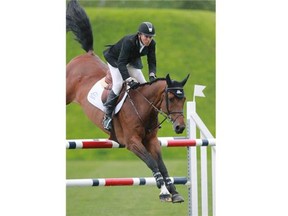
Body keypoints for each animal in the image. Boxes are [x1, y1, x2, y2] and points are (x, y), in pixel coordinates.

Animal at [66, 0, 190, 202]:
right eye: (171, 98)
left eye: (184, 99)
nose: (180, 128)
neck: (144, 107)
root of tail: (87, 55)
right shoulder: (132, 142)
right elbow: (151, 163)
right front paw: (163, 190)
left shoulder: (152, 141)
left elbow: (162, 165)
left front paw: (174, 192)